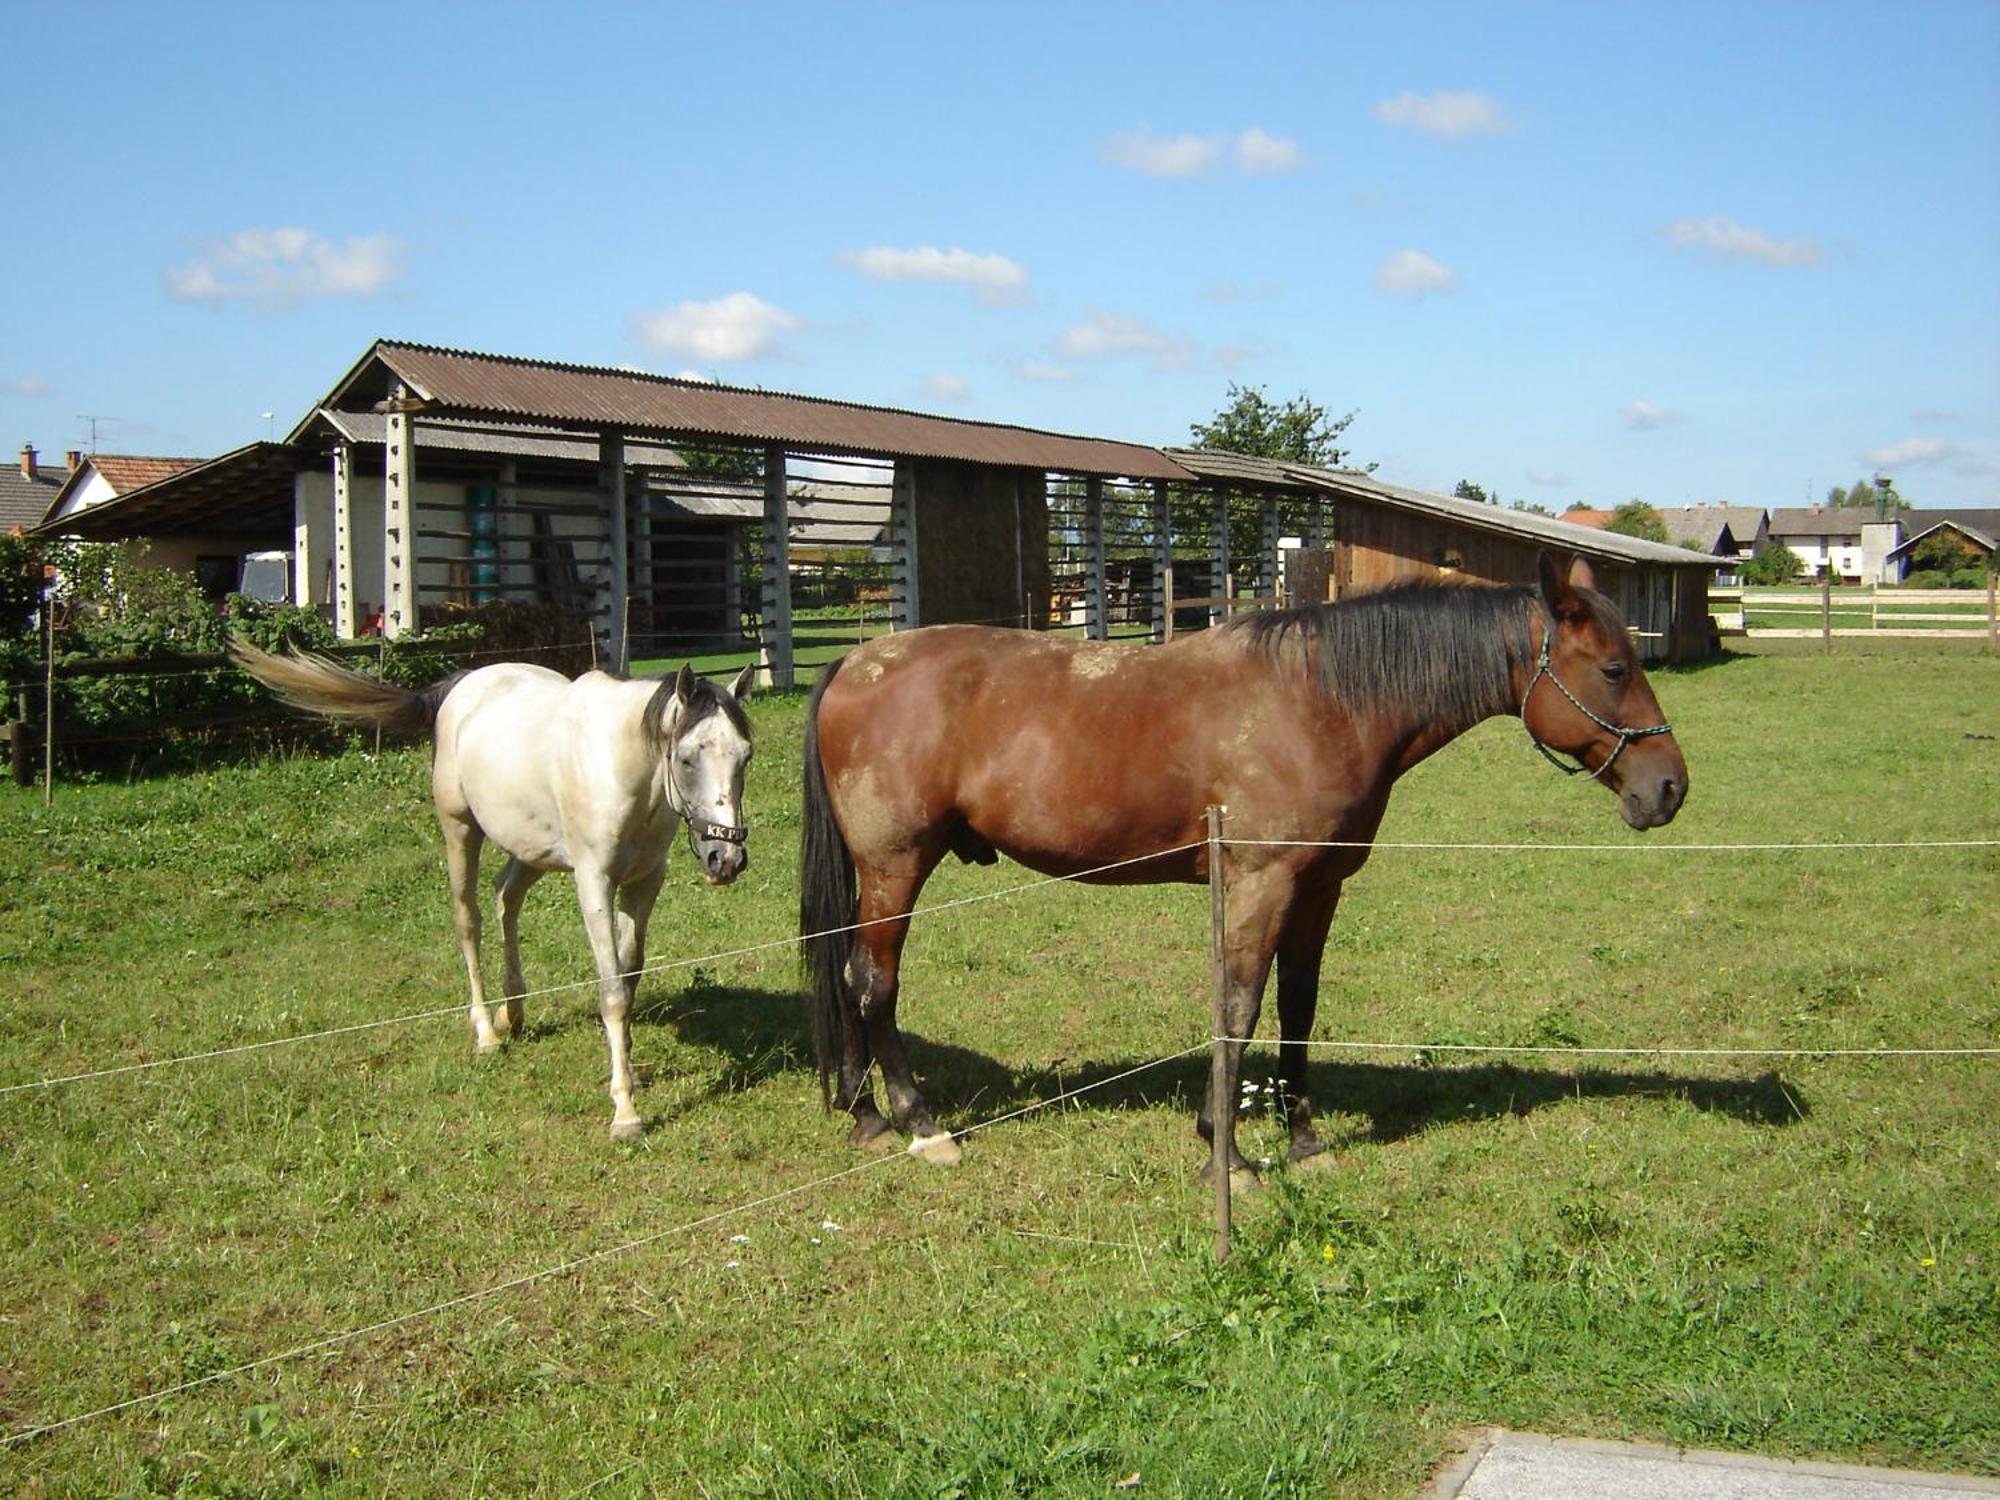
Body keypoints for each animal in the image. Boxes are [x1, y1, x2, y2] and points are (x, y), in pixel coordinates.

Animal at [229, 640, 756, 1144]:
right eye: (687, 757)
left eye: (745, 756)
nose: (725, 859)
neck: (619, 766)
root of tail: (463, 686)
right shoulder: (594, 882)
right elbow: (611, 993)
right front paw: (625, 1112)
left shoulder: (645, 882)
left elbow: (629, 977)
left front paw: (628, 1068)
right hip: (460, 831)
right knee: (469, 920)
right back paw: (486, 1031)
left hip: (530, 850)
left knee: (507, 898)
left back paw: (512, 1014)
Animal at [796, 552, 1688, 1176]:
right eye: (1615, 669)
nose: (1669, 787)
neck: (1320, 700)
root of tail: (854, 663)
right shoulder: (1259, 884)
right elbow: (1239, 1007)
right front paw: (1224, 1158)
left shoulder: (1319, 888)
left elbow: (1296, 1009)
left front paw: (1303, 1141)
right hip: (895, 867)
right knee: (872, 984)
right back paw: (919, 1125)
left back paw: (865, 1114)